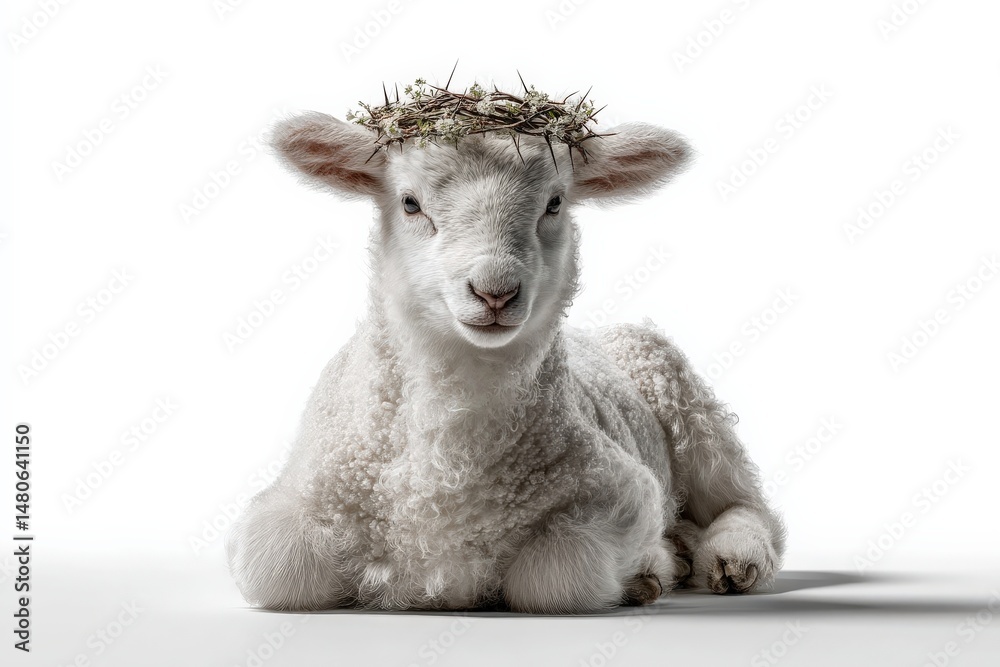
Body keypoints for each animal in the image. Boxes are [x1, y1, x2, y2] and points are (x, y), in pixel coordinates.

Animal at [225, 102, 786, 614]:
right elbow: (276, 566)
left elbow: (556, 577)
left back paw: (731, 556)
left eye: (554, 203)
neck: (447, 470)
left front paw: (647, 571)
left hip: (689, 406)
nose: (495, 291)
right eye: (410, 204)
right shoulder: (300, 491)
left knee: (746, 503)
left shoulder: (623, 491)